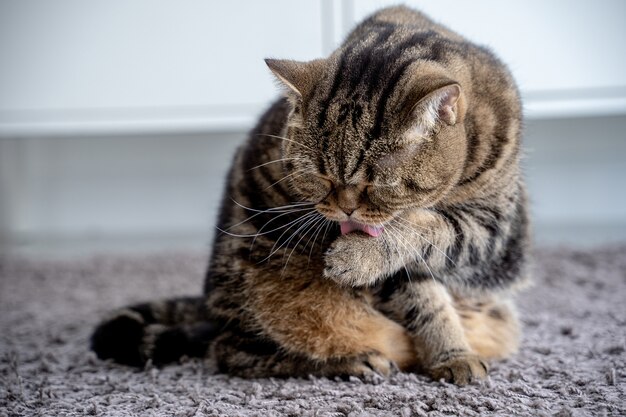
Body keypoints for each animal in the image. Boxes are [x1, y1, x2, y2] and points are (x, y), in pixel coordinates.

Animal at [91, 5, 528, 384]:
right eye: (318, 176)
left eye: (377, 185)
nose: (346, 210)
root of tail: (210, 304)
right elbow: (423, 298)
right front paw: (451, 353)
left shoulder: (498, 232)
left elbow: (430, 230)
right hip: (262, 287)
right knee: (231, 352)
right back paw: (352, 361)